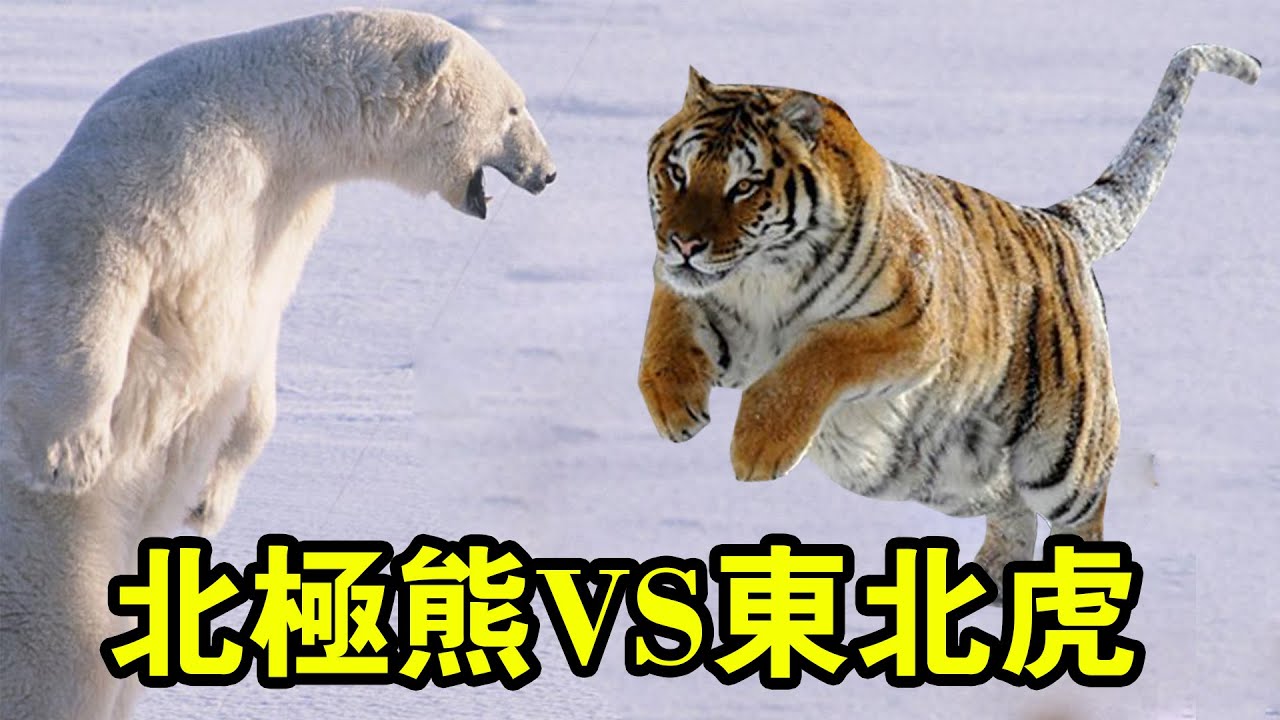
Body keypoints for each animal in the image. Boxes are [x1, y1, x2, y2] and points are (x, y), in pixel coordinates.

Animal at [0, 9, 555, 718]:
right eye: (513, 107)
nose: (548, 172)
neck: (275, 118)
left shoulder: (287, 216)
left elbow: (255, 352)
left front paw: (209, 498)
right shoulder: (183, 150)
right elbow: (90, 236)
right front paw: (70, 454)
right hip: (47, 539)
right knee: (61, 640)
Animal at [637, 45, 1261, 583]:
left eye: (744, 186)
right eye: (678, 173)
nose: (683, 242)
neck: (762, 281)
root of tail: (1056, 221)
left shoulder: (910, 325)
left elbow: (812, 359)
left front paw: (756, 449)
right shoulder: (694, 297)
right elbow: (662, 336)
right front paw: (675, 410)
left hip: (1062, 457)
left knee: (1078, 517)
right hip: (943, 473)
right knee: (1010, 509)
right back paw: (988, 580)